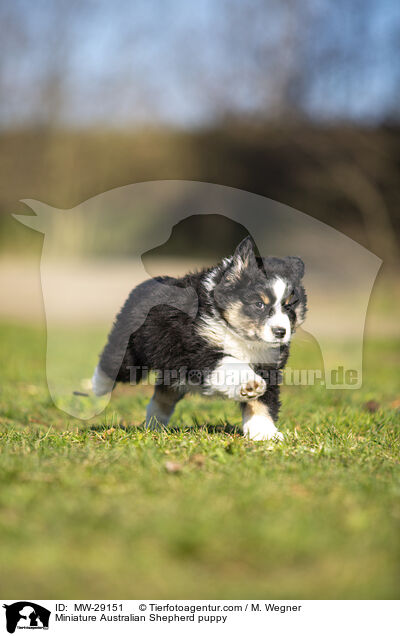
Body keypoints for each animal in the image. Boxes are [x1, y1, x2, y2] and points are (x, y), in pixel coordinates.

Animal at [93, 236, 306, 440]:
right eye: (259, 304)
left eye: (289, 307)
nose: (280, 332)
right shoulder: (197, 348)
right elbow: (230, 362)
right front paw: (250, 383)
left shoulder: (268, 365)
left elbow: (262, 402)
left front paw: (264, 433)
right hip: (131, 350)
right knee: (113, 364)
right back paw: (96, 390)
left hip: (173, 371)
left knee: (162, 397)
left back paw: (155, 426)